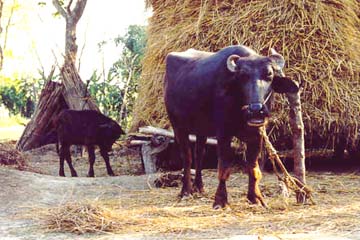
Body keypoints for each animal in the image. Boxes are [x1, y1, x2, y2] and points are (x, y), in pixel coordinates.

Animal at [165, 44, 300, 208]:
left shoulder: (257, 135)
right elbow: (224, 168)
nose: (256, 109)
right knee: (187, 157)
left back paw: (200, 187)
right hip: (178, 126)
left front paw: (255, 198)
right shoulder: (223, 133)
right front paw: (220, 200)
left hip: (201, 131)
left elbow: (253, 168)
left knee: (199, 155)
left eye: (269, 75)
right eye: (242, 76)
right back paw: (186, 191)